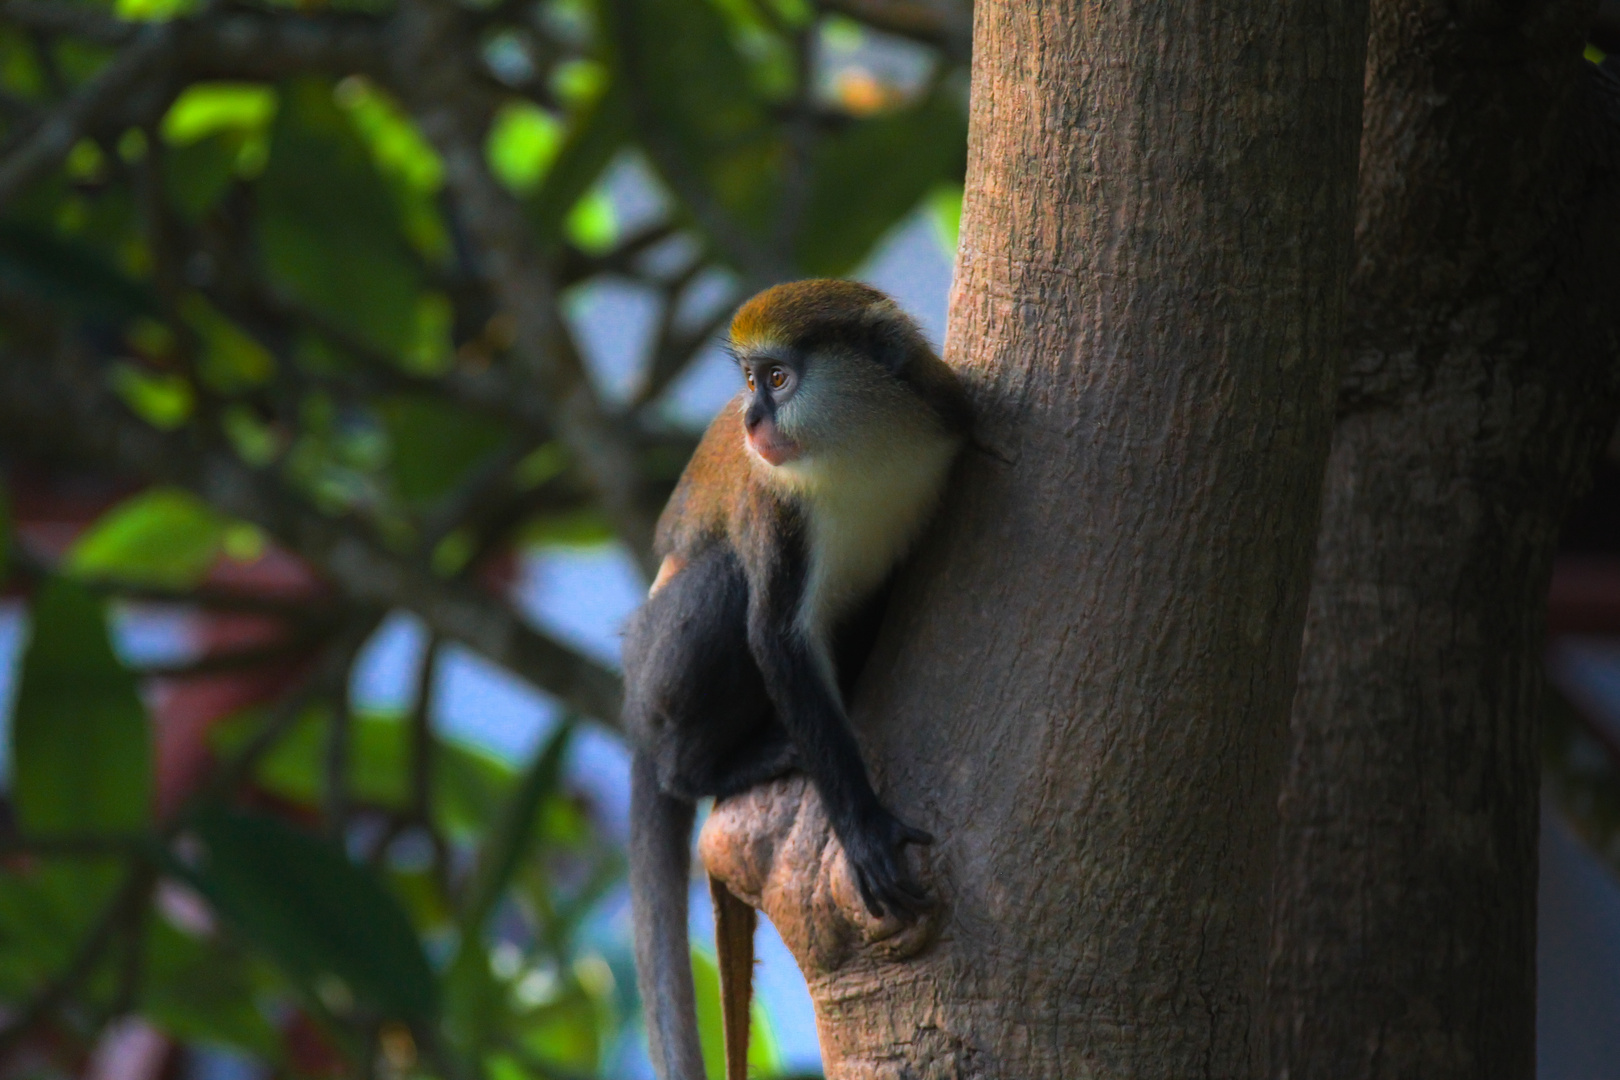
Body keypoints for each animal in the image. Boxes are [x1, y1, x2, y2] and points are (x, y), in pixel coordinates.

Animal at [625, 278, 965, 1080]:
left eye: (777, 379)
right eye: (751, 382)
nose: (750, 417)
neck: (862, 448)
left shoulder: (947, 422)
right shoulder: (774, 507)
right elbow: (774, 637)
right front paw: (864, 831)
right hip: (660, 672)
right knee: (723, 581)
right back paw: (703, 767)